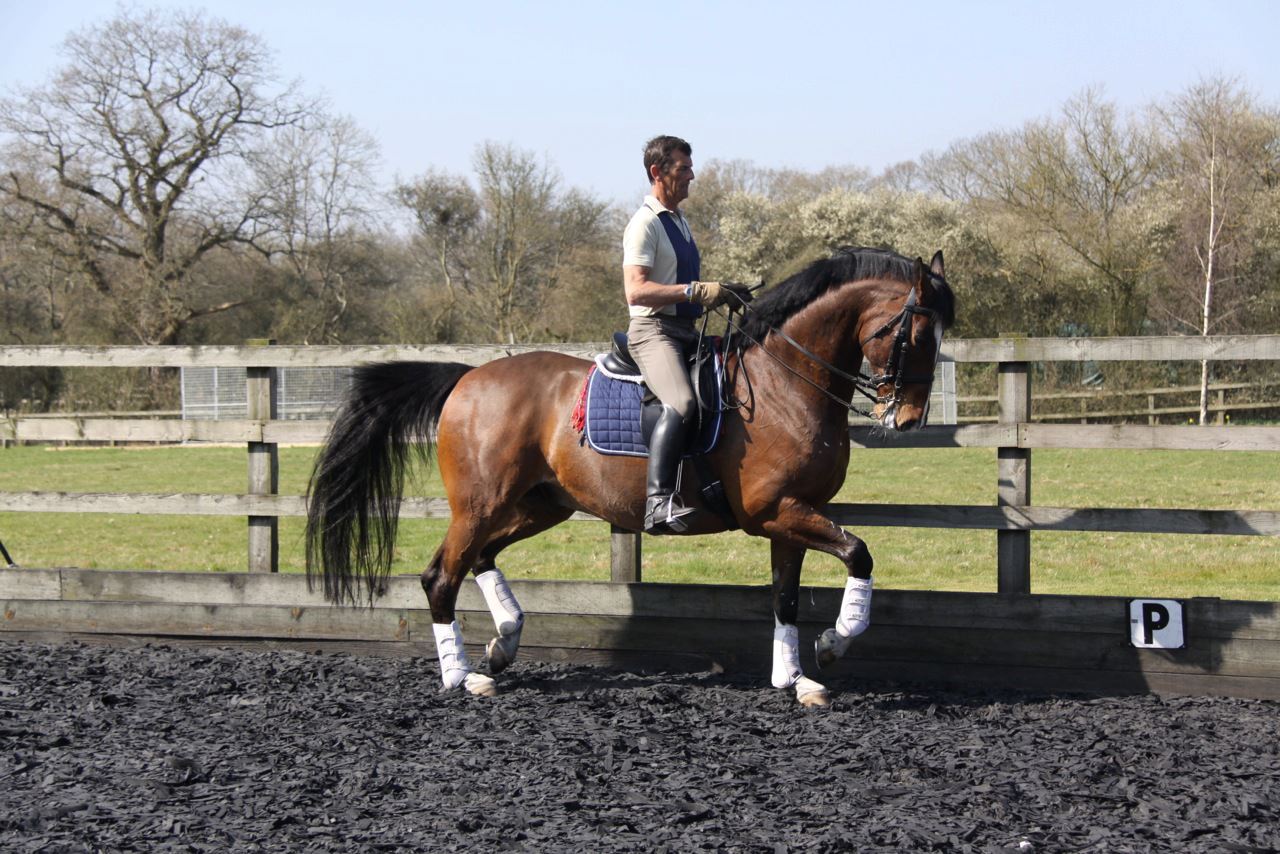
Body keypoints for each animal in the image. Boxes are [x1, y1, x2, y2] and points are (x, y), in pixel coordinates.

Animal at [304, 245, 957, 706]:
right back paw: (463, 676)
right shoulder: (778, 512)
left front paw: (796, 679)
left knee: (480, 557)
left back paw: (503, 642)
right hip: (482, 503)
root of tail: (468, 378)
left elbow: (787, 597)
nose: (908, 419)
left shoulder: (791, 518)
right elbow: (859, 553)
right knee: (442, 575)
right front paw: (834, 644)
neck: (784, 383)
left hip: (538, 504)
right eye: (916, 333)